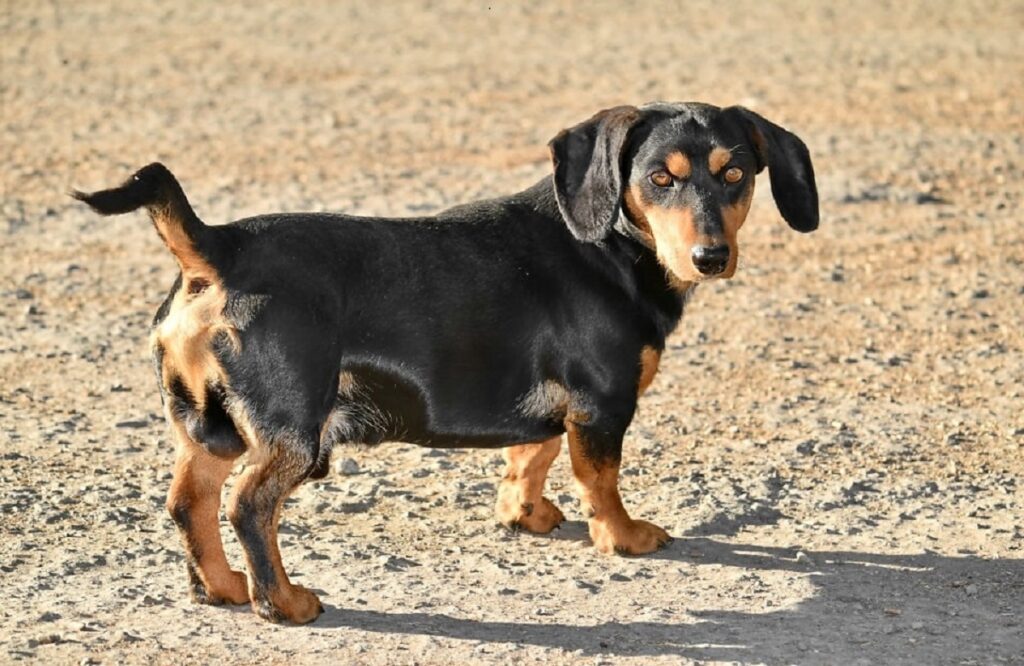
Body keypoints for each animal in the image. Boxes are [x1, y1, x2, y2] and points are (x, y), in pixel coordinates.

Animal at [74, 100, 815, 618]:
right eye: (661, 178)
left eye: (735, 174)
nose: (711, 257)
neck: (611, 248)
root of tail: (217, 247)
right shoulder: (602, 405)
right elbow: (600, 481)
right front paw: (623, 537)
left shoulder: (547, 403)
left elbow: (532, 455)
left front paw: (525, 515)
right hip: (293, 429)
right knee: (249, 507)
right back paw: (281, 603)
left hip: (208, 426)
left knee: (188, 503)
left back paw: (224, 587)